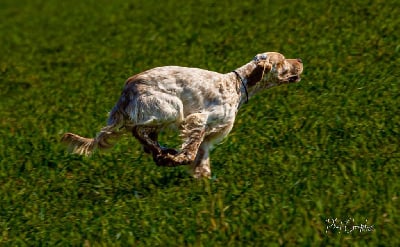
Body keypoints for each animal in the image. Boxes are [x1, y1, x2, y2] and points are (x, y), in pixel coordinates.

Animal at [61, 52, 304, 178]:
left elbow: (201, 159)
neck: (237, 85)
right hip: (171, 107)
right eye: (283, 60)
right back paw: (162, 154)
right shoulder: (199, 119)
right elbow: (191, 151)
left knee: (147, 136)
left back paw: (161, 152)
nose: (301, 61)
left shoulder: (208, 136)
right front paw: (175, 160)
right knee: (138, 130)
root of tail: (128, 87)